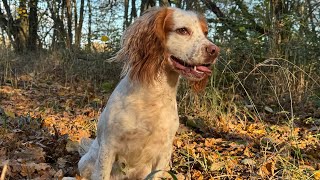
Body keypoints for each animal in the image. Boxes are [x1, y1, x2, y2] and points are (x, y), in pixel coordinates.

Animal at [77, 6, 220, 179]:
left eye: (205, 33)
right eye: (183, 30)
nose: (215, 50)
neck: (154, 94)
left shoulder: (164, 152)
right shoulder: (108, 146)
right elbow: (101, 174)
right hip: (85, 162)